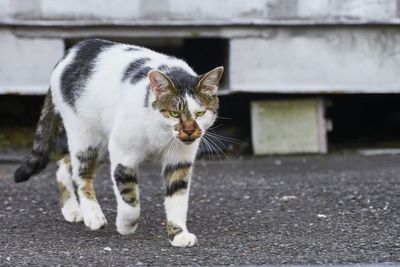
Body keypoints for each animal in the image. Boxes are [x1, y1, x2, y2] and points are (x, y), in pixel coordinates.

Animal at [14, 38, 223, 248]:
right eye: (174, 113)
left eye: (200, 113)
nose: (189, 131)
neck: (161, 132)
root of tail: (69, 54)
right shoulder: (123, 152)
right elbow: (128, 197)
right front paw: (126, 225)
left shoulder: (180, 160)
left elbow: (177, 197)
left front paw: (179, 234)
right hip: (86, 137)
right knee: (82, 176)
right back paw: (92, 215)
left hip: (102, 144)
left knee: (64, 163)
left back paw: (71, 210)